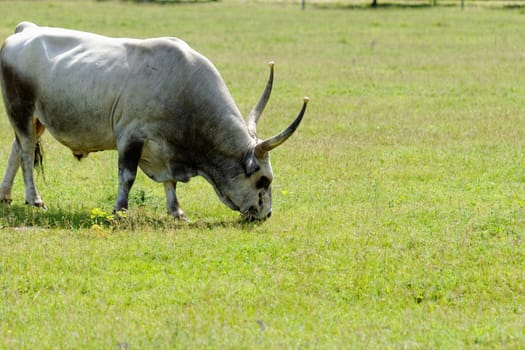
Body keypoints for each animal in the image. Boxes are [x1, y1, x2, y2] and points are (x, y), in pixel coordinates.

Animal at [0, 20, 308, 220]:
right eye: (263, 180)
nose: (266, 215)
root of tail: (27, 30)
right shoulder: (130, 137)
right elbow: (127, 176)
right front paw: (120, 210)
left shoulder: (166, 150)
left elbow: (169, 182)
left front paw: (176, 211)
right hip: (21, 110)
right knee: (25, 154)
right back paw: (34, 199)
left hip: (35, 120)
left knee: (16, 150)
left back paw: (5, 196)